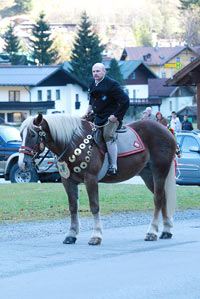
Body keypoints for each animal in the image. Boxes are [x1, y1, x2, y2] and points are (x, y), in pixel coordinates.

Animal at [18, 114, 177, 246]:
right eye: (21, 134)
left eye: (32, 134)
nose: (22, 163)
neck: (73, 143)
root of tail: (166, 131)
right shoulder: (68, 181)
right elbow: (73, 207)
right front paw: (71, 235)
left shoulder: (91, 179)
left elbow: (94, 206)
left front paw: (96, 236)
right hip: (148, 175)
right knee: (163, 198)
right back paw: (166, 231)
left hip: (159, 172)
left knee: (158, 199)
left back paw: (152, 232)